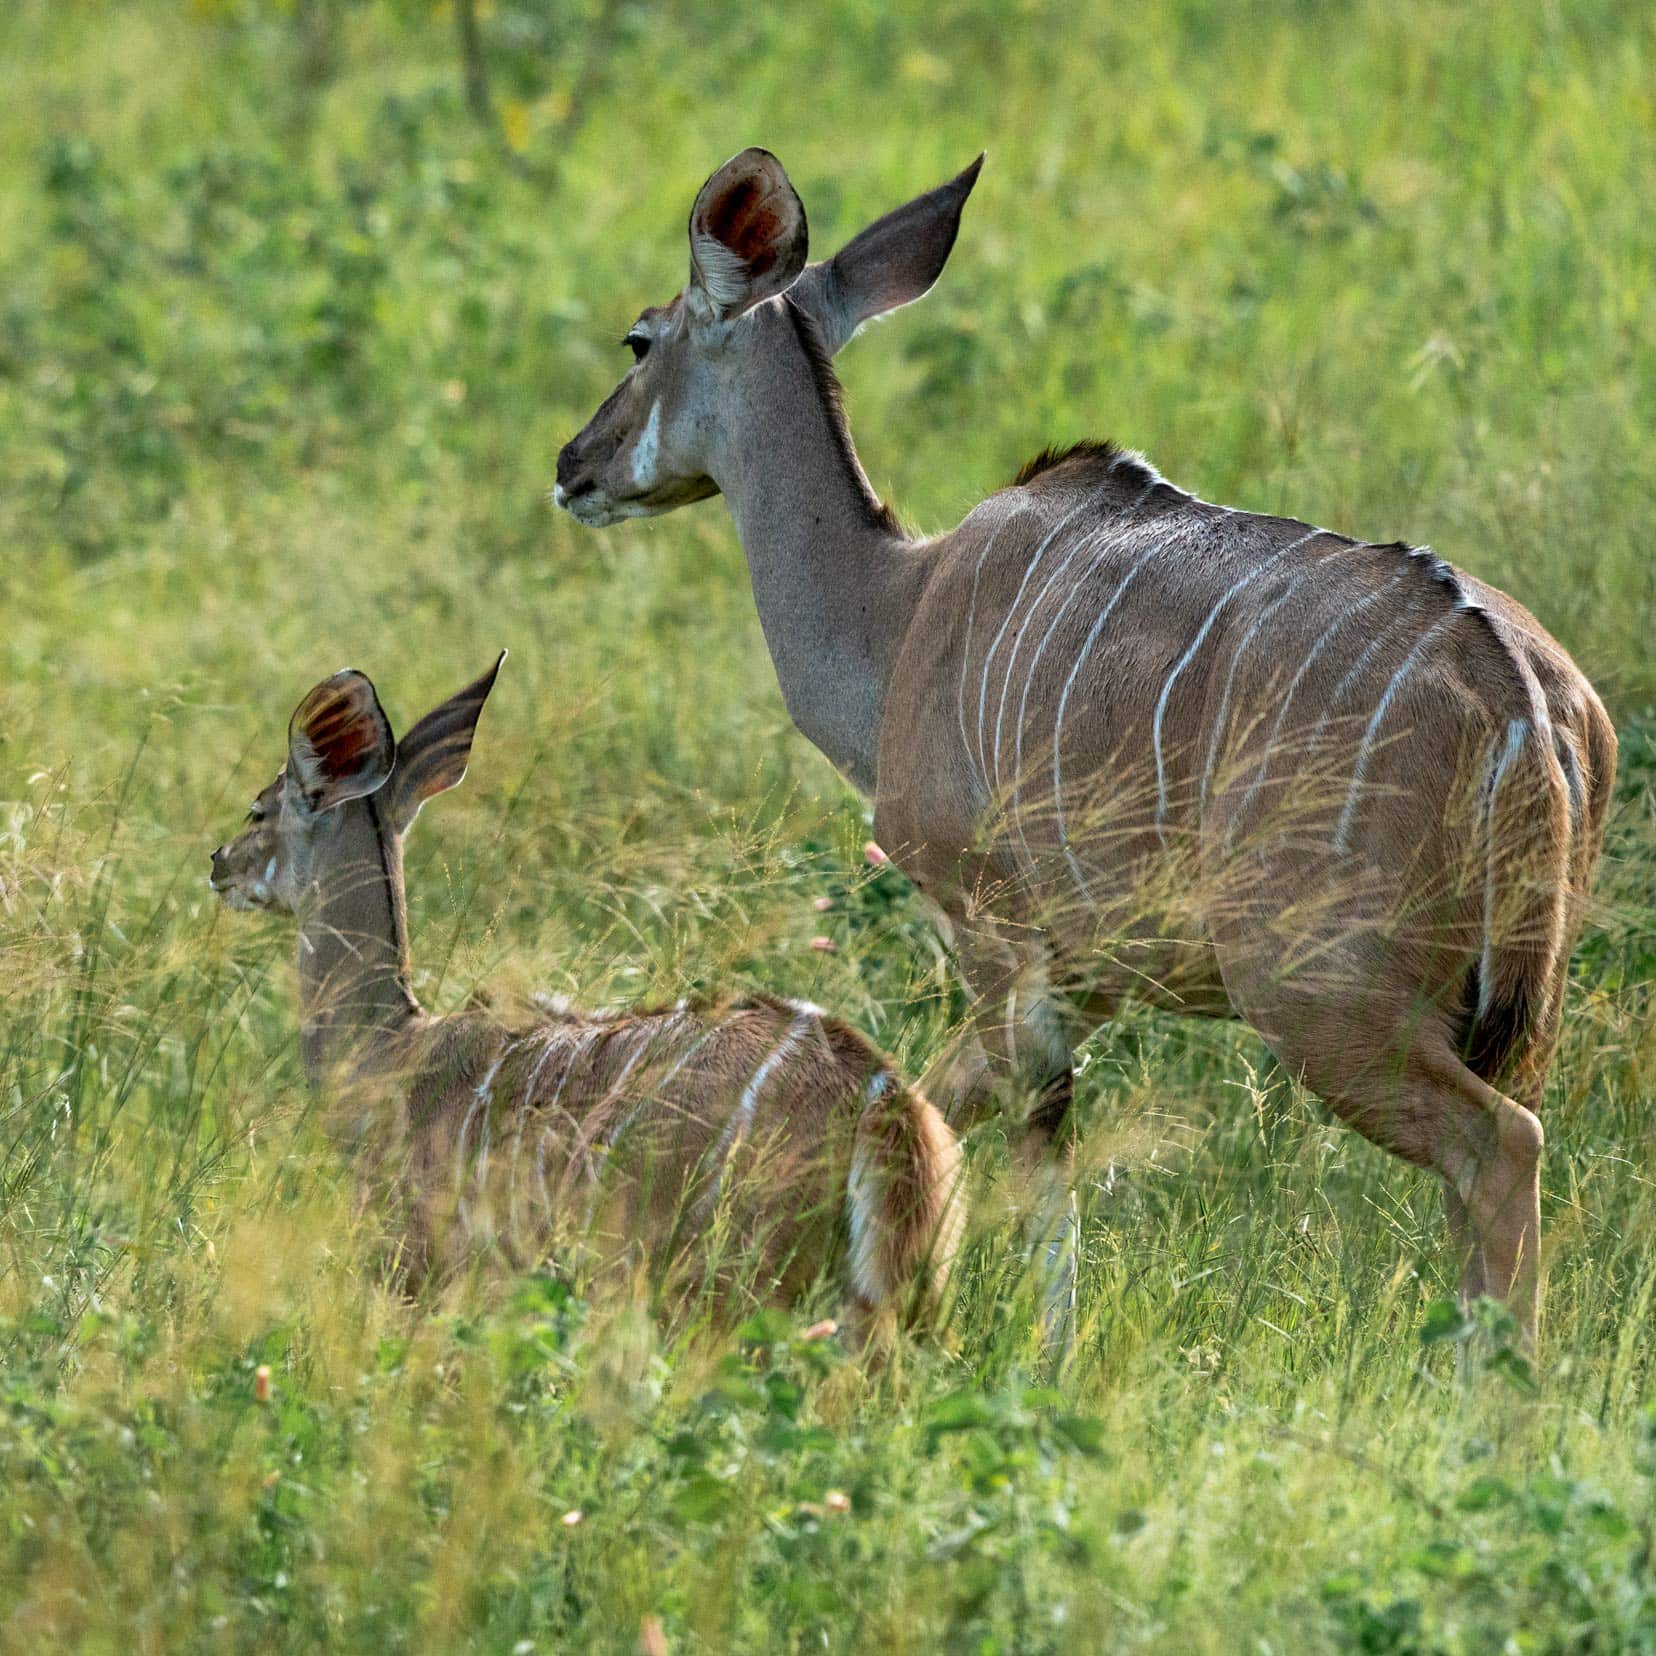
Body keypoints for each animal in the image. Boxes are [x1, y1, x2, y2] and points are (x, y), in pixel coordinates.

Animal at [210, 652, 960, 1338]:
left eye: (258, 809)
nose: (217, 864)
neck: (387, 1049)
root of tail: (883, 1100)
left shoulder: (417, 1258)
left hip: (715, 1288)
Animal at [559, 152, 1616, 1344]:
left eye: (639, 340)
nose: (572, 464)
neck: (902, 610)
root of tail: (1524, 696)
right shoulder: (1080, 978)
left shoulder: (995, 937)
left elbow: (1035, 1155)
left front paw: (1044, 1353)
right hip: (1509, 1014)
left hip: (1321, 999)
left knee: (1498, 1147)